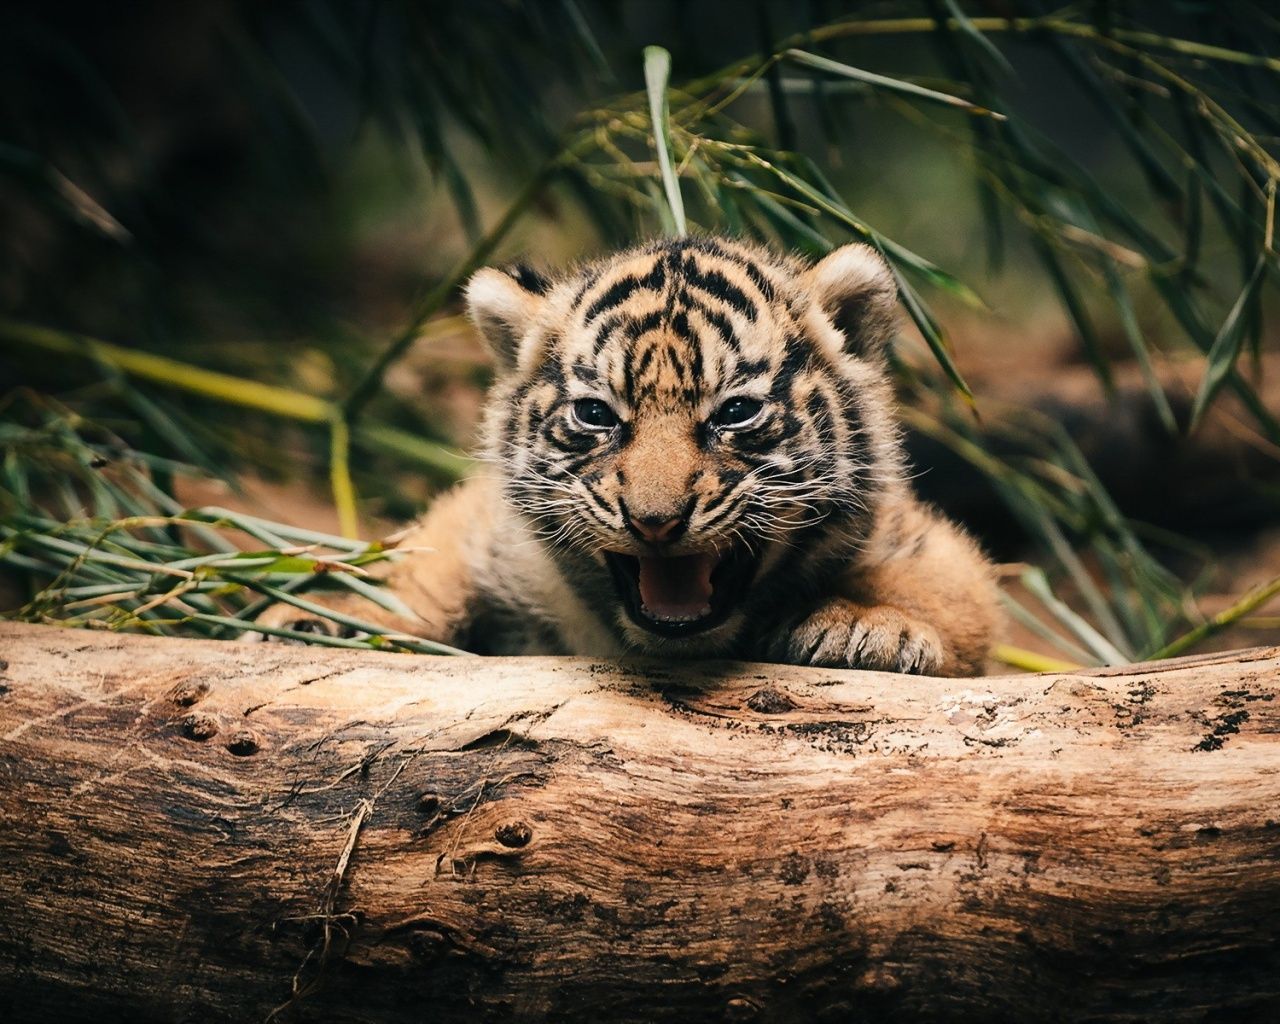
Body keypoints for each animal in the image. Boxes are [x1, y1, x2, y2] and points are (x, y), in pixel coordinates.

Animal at [260, 236, 1000, 676]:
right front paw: (323, 615)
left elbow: (948, 587)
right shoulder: (486, 527)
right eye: (596, 415)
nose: (655, 522)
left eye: (735, 412)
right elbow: (424, 558)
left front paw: (863, 627)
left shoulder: (923, 540)